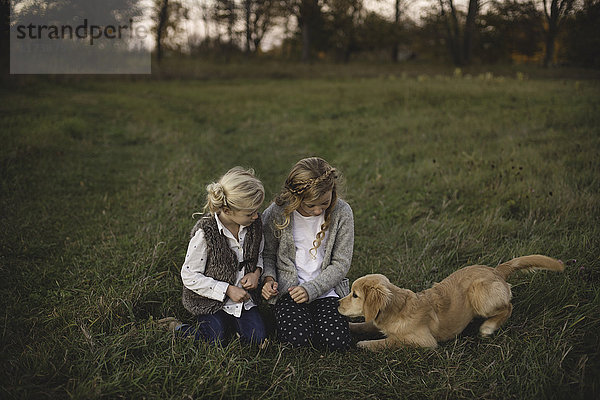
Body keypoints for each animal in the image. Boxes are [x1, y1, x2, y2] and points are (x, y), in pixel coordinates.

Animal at [340, 255, 564, 348]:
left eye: (355, 295)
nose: (337, 304)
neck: (398, 308)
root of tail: (496, 270)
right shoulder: (377, 321)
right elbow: (365, 325)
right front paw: (351, 327)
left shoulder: (424, 342)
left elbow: (391, 341)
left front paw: (365, 344)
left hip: (479, 293)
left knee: (508, 307)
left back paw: (488, 327)